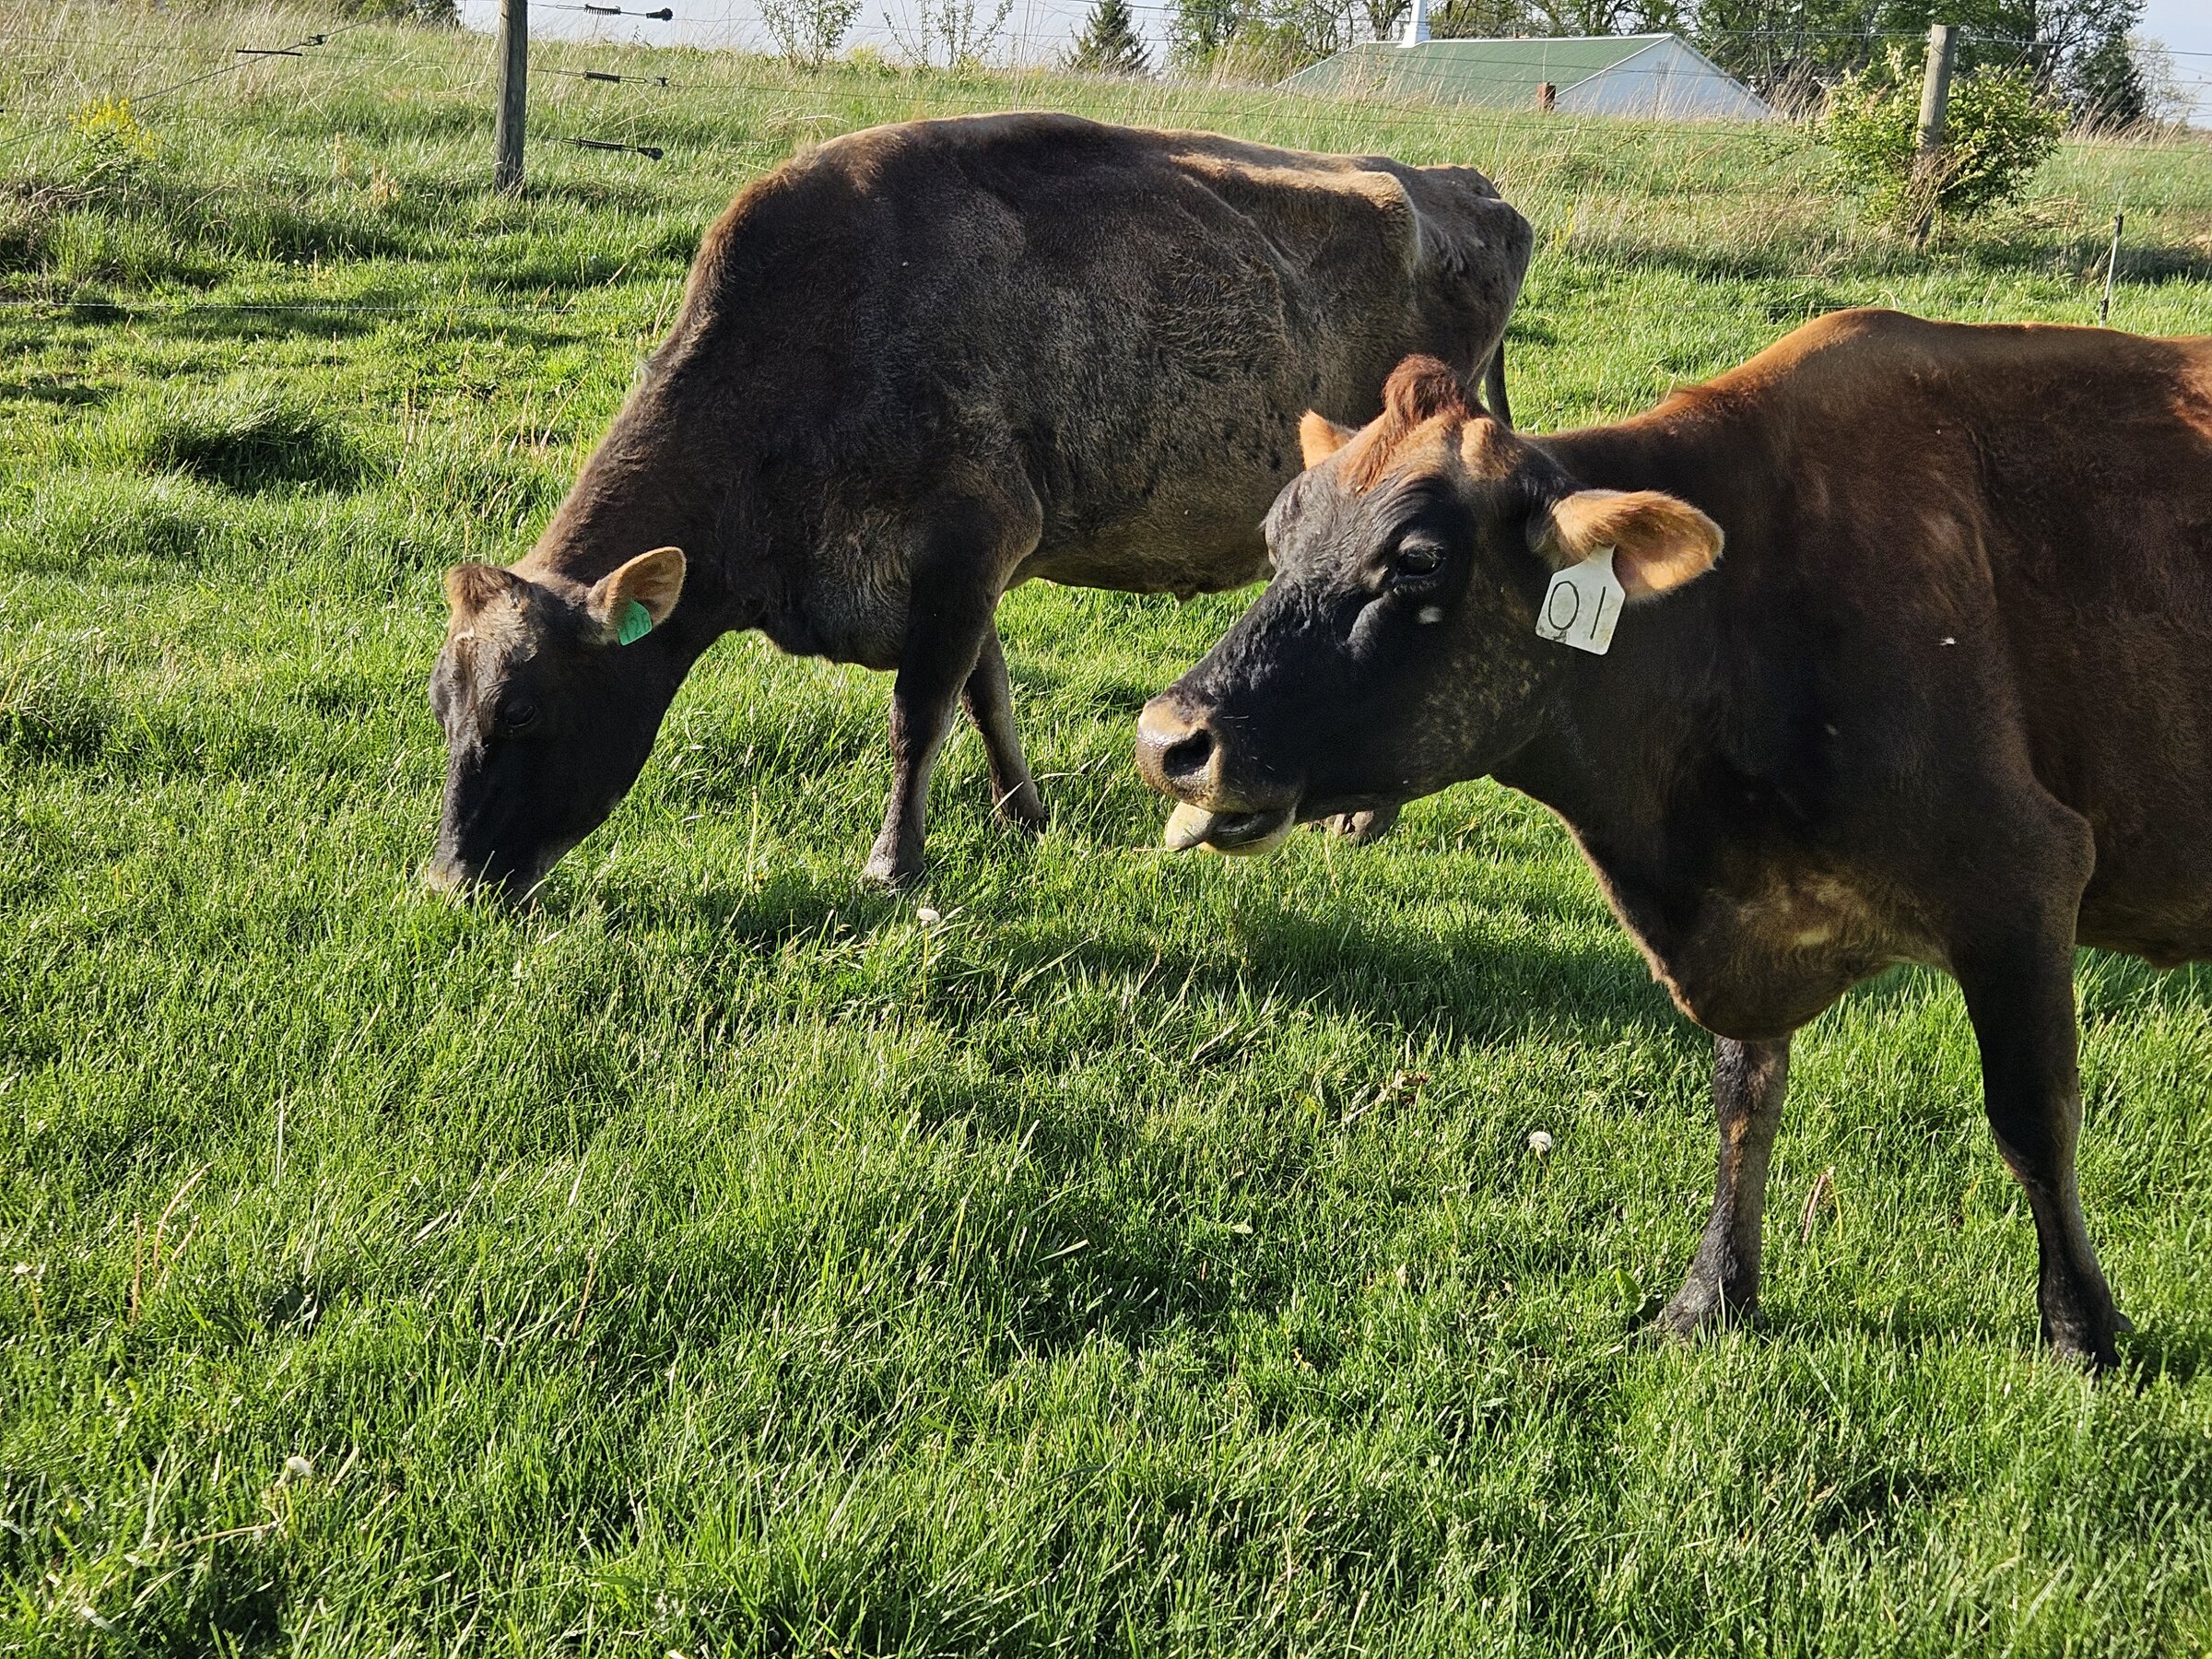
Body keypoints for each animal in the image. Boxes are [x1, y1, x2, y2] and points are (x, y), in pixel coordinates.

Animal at [426, 113, 1531, 893]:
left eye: (524, 710)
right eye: (442, 705)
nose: (450, 882)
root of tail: (1467, 186)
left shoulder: (970, 538)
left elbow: (920, 712)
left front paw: (894, 863)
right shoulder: (966, 566)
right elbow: (987, 692)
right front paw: (1022, 813)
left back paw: (1363, 818)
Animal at [1135, 308, 2212, 1368]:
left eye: (1419, 560)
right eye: (1277, 534)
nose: (1168, 740)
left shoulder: (2022, 878)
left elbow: (2033, 1119)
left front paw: (2079, 1329)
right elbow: (1745, 1100)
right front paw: (1711, 1299)